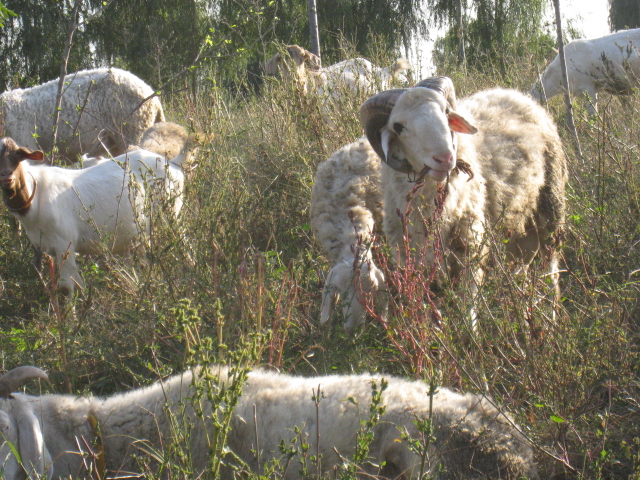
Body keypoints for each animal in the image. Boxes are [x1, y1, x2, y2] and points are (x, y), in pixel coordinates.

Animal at [0, 134, 185, 296]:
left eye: (17, 155)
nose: (6, 176)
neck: (36, 196)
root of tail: (173, 163)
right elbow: (78, 283)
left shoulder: (64, 245)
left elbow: (66, 288)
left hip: (171, 214)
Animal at [312, 76, 568, 330]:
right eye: (398, 126)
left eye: (446, 112)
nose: (445, 158)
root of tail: (514, 94)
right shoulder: (417, 261)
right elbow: (431, 308)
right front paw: (436, 334)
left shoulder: (470, 246)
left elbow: (468, 305)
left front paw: (468, 336)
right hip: (519, 223)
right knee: (521, 267)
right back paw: (523, 315)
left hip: (551, 203)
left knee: (551, 269)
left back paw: (551, 318)